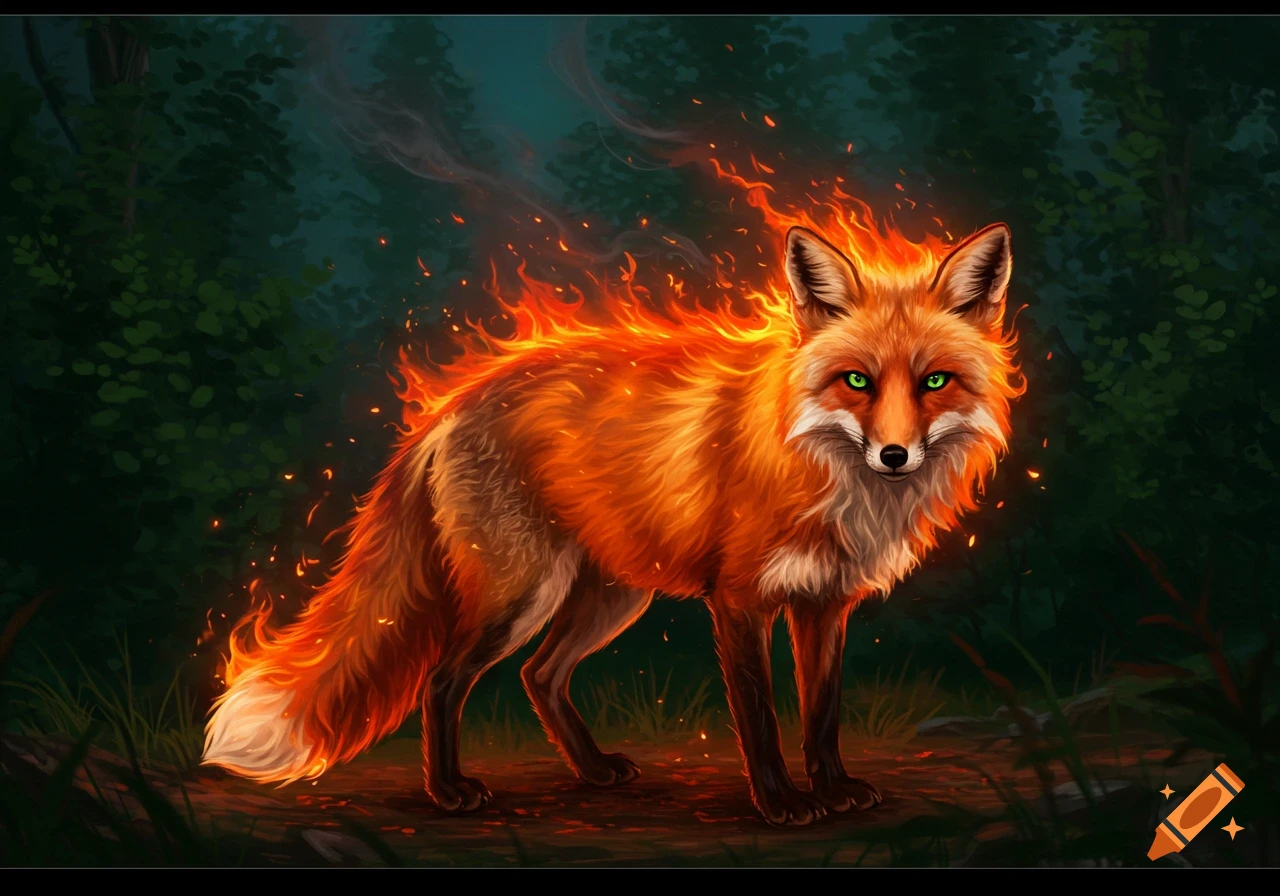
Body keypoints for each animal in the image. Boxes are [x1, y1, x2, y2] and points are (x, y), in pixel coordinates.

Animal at [202, 221, 1021, 826]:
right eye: (856, 381)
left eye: (935, 382)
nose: (894, 455)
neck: (820, 471)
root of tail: (449, 404)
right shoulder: (739, 601)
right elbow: (759, 718)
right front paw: (781, 802)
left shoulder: (823, 604)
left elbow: (821, 714)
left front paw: (833, 788)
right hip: (519, 595)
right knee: (442, 679)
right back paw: (448, 791)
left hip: (612, 597)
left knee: (539, 676)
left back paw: (593, 770)